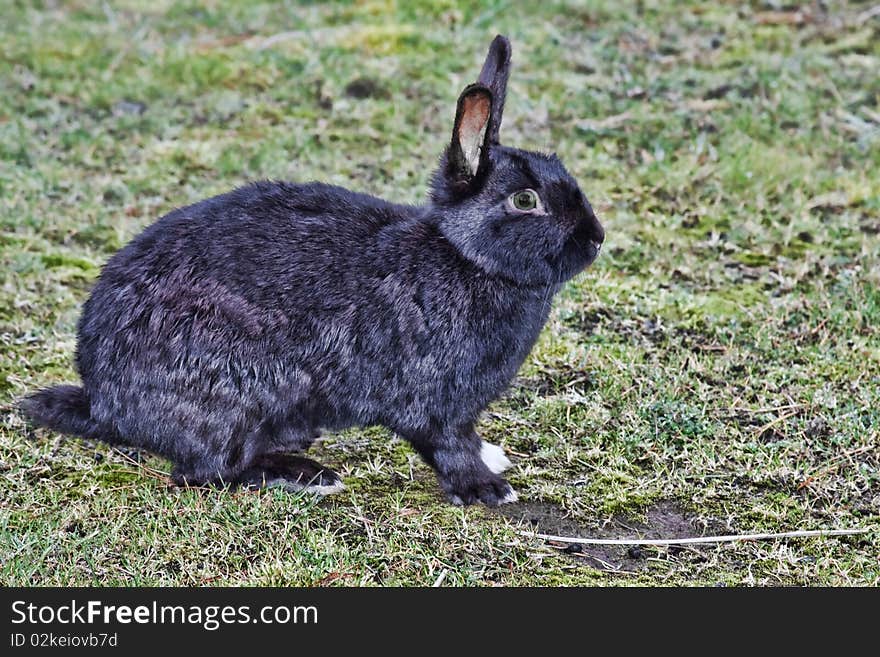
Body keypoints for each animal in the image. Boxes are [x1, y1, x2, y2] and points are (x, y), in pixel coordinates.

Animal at [25, 36, 604, 504]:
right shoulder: (434, 400)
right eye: (525, 200)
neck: (462, 256)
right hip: (234, 390)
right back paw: (307, 474)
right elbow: (447, 443)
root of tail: (103, 401)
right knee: (207, 471)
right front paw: (485, 488)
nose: (596, 239)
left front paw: (494, 459)